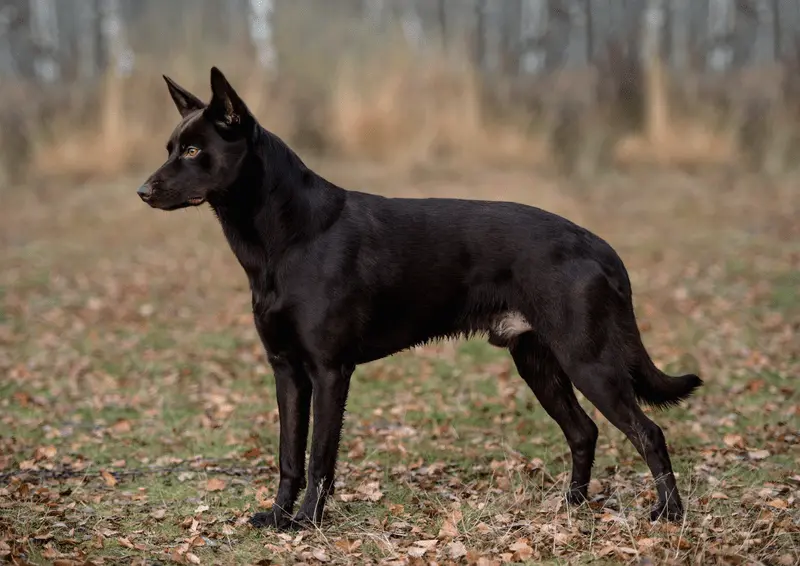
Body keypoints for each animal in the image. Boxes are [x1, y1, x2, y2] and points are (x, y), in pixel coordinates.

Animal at [141, 67, 704, 532]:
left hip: (588, 361)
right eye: (171, 146)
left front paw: (307, 522)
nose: (143, 192)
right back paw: (572, 506)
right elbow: (289, 455)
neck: (290, 238)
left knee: (649, 432)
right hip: (537, 362)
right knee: (584, 431)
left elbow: (320, 455)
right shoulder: (286, 370)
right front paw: (279, 516)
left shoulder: (329, 371)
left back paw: (668, 514)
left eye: (193, 151)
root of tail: (598, 244)